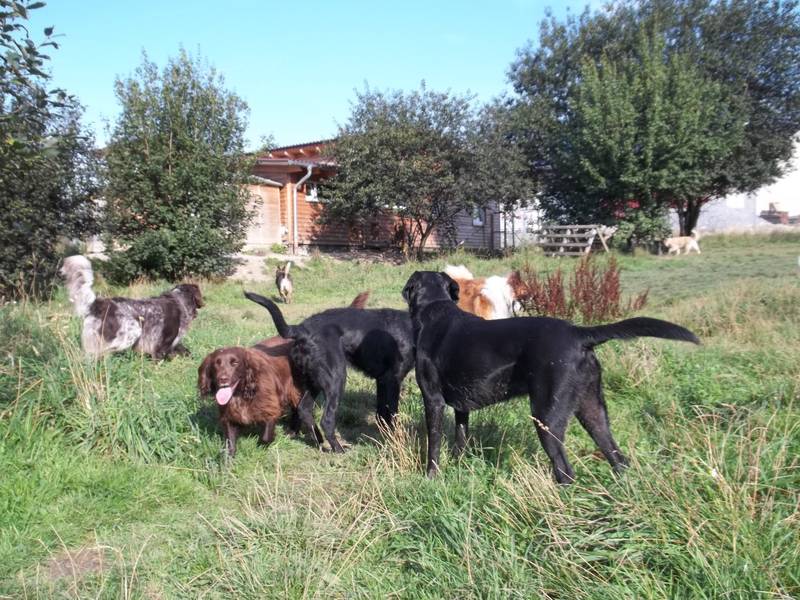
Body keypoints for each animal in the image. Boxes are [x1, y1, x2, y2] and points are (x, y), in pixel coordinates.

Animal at [60, 255, 203, 359]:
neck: (179, 301)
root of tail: (99, 303)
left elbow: (185, 350)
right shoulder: (162, 343)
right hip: (133, 331)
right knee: (104, 352)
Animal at [244, 291, 414, 453]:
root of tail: (301, 329)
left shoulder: (382, 380)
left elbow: (381, 413)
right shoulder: (392, 379)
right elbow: (391, 413)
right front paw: (395, 440)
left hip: (313, 381)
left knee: (304, 409)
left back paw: (318, 440)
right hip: (336, 379)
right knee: (326, 420)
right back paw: (338, 449)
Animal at [402, 271, 700, 483]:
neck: (436, 308)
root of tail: (579, 333)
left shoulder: (433, 400)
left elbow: (434, 445)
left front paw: (431, 478)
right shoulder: (462, 408)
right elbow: (460, 440)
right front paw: (460, 468)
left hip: (547, 416)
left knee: (565, 471)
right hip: (592, 411)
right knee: (617, 458)